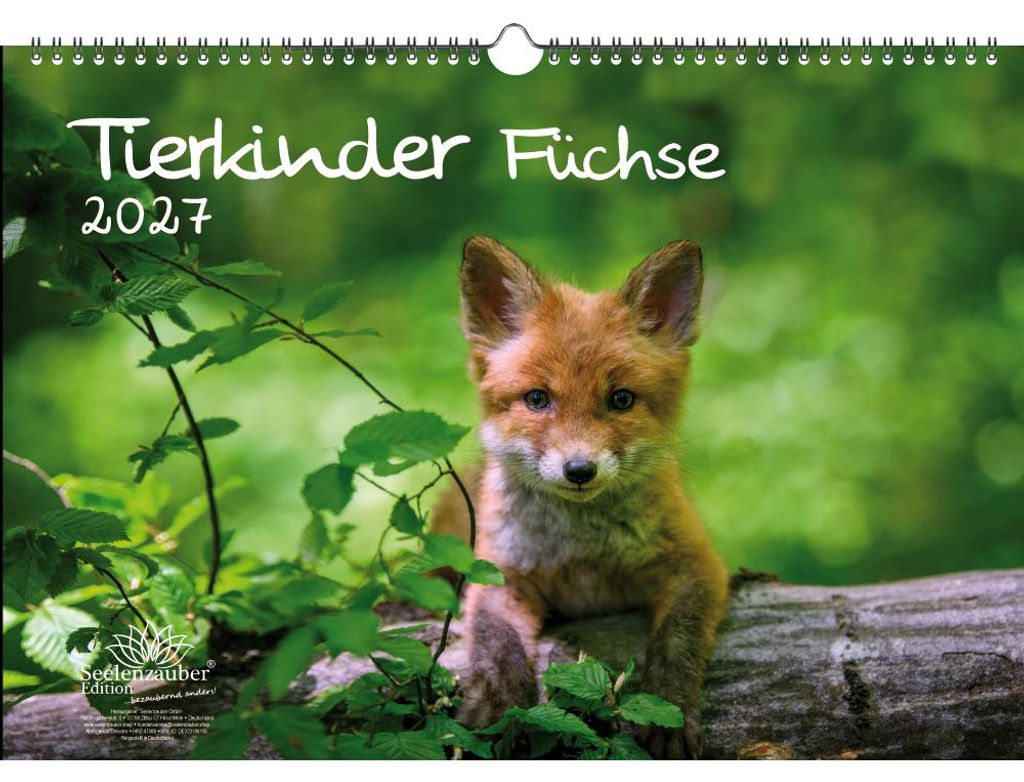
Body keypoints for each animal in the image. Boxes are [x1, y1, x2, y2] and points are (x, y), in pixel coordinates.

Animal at [431, 236, 729, 759]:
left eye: (621, 399)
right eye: (537, 399)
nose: (579, 470)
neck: (581, 551)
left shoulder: (696, 564)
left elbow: (679, 639)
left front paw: (669, 708)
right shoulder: (499, 574)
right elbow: (496, 644)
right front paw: (498, 707)